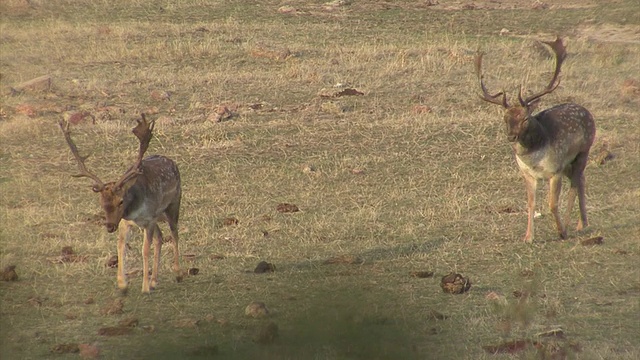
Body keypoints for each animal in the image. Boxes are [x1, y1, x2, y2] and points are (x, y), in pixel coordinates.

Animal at [60, 115, 182, 292]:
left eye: (121, 201)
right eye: (101, 202)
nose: (110, 226)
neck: (134, 211)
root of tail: (173, 162)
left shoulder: (149, 219)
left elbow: (145, 250)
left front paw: (144, 288)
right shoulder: (126, 221)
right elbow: (121, 246)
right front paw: (122, 283)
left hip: (173, 204)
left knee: (174, 233)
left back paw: (178, 274)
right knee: (160, 237)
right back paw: (154, 280)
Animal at [476, 37, 596, 242]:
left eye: (525, 118)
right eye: (505, 118)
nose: (511, 136)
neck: (534, 158)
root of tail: (588, 113)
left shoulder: (555, 170)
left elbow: (552, 204)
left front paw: (560, 231)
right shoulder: (528, 174)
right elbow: (530, 204)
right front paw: (528, 237)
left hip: (582, 152)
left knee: (575, 184)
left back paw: (570, 226)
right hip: (569, 165)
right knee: (581, 179)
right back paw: (582, 224)